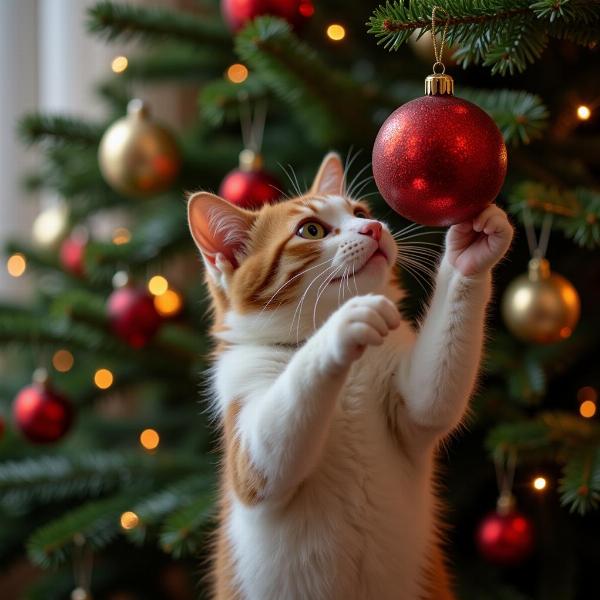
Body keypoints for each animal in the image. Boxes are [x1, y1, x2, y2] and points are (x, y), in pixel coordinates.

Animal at [186, 154, 510, 600]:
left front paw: (470, 248)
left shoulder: (411, 405)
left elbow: (432, 400)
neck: (353, 372)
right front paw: (342, 323)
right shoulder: (250, 453)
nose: (372, 228)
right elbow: (271, 451)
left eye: (359, 212)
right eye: (311, 230)